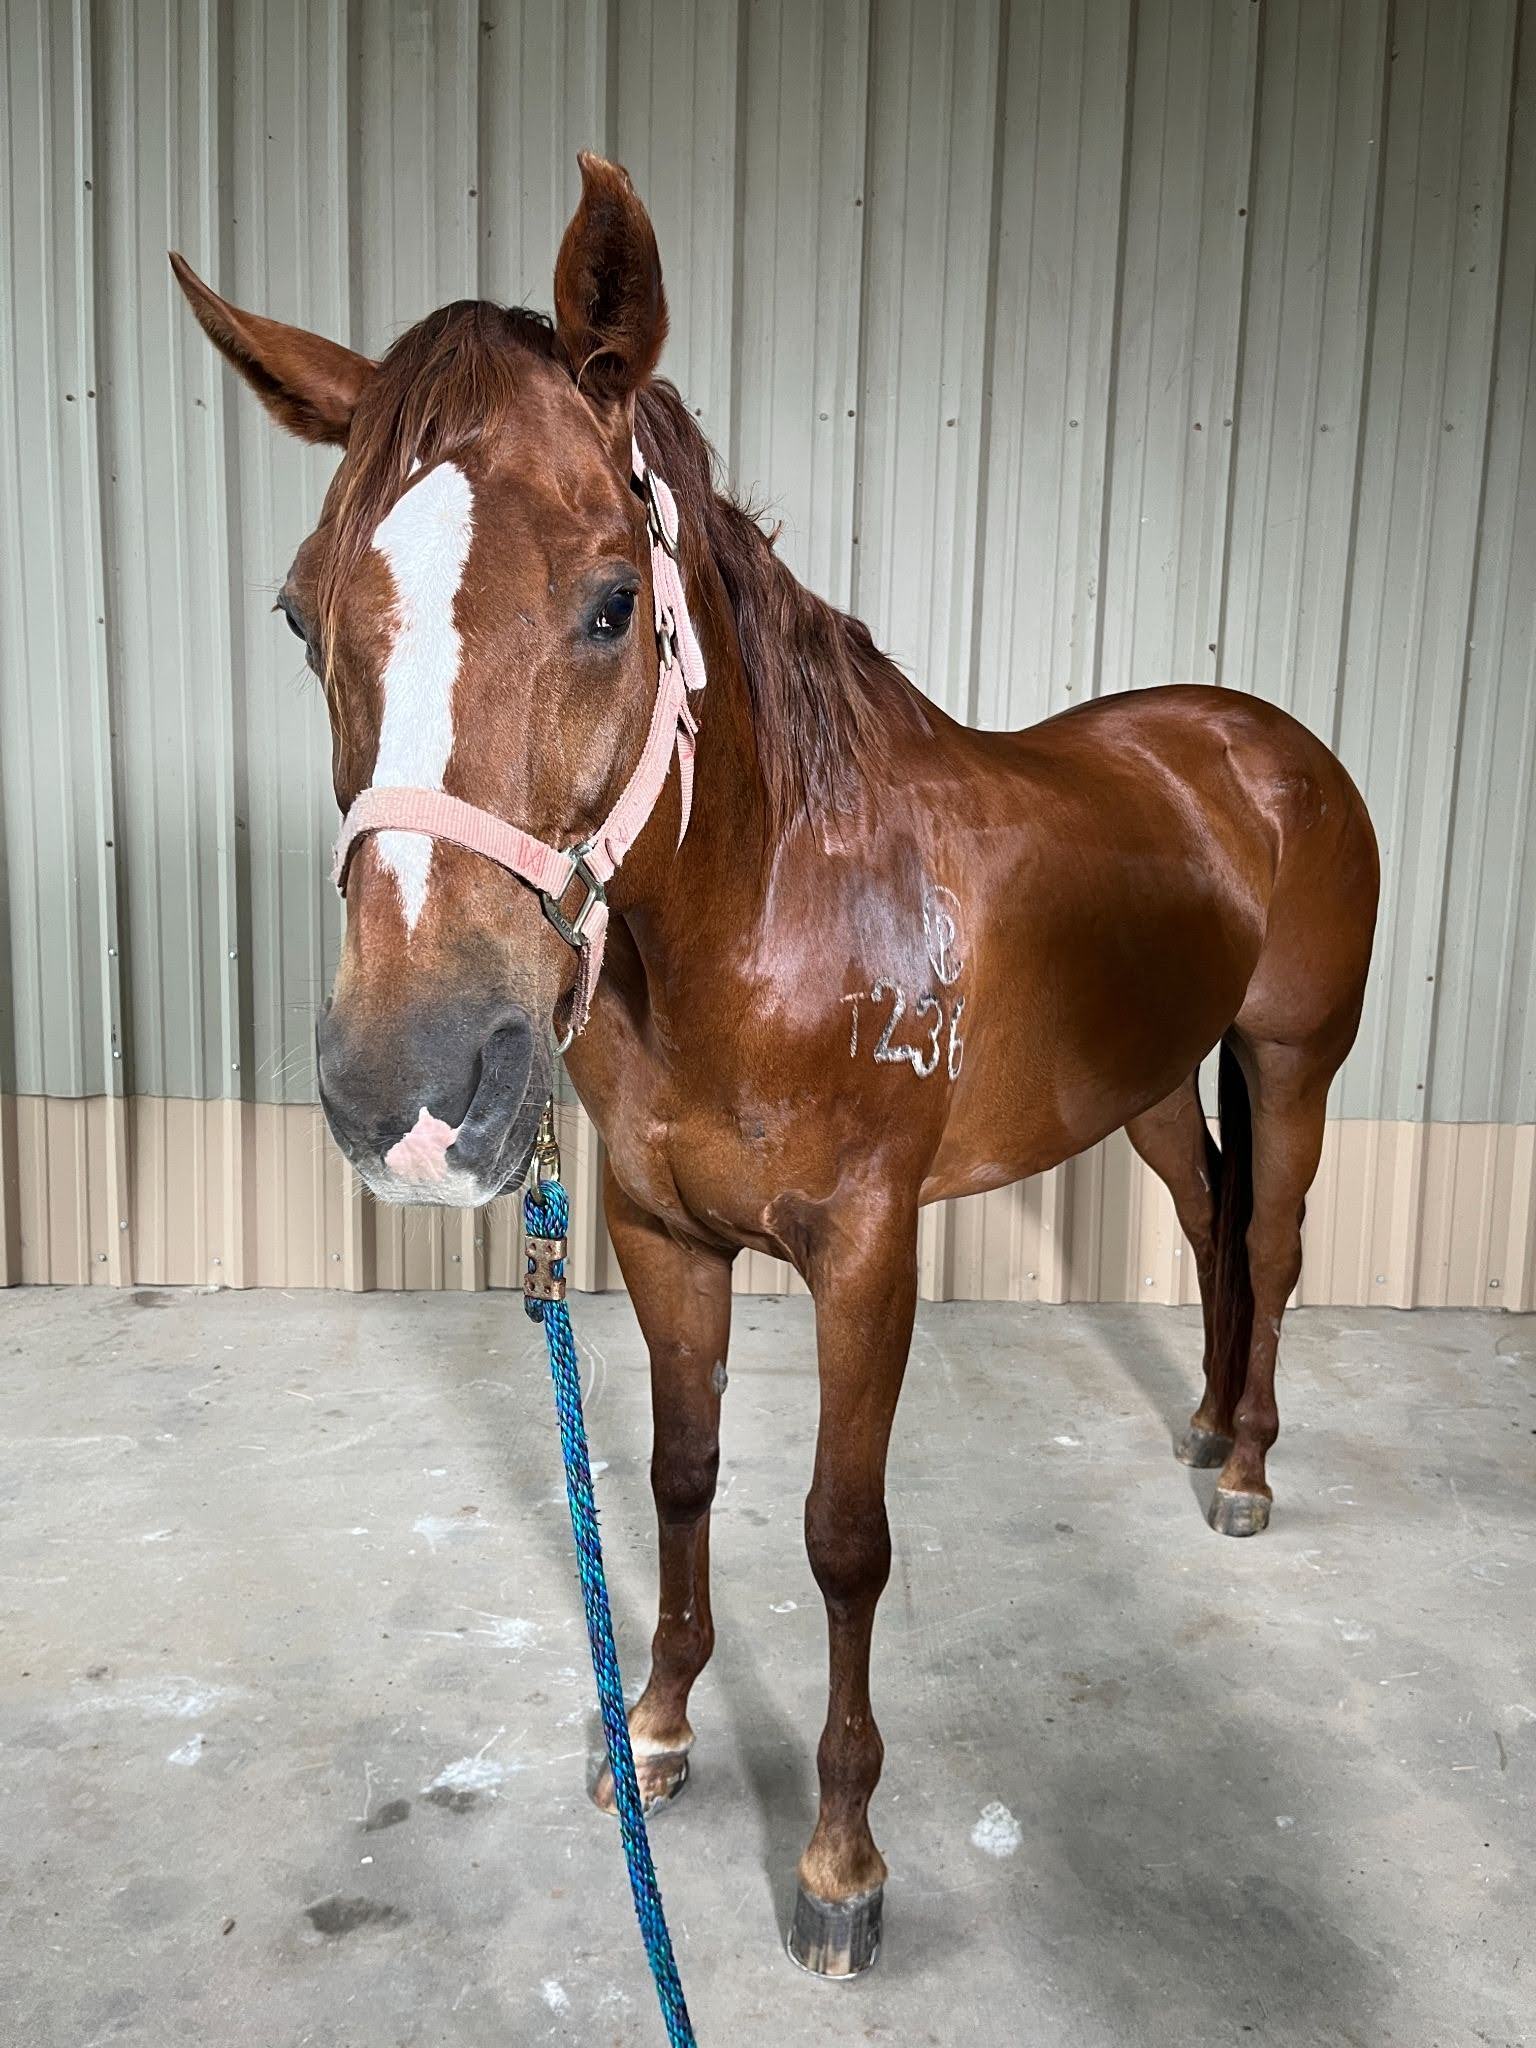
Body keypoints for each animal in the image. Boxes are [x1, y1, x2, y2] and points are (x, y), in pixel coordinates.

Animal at [172, 152, 1378, 1980]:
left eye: (613, 602)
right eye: (302, 613)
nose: (414, 1095)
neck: (775, 904)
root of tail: (1258, 743)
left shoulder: (866, 1256)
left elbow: (842, 1537)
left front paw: (840, 1859)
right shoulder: (662, 1235)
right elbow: (678, 1476)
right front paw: (656, 1729)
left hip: (1293, 1057)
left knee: (1283, 1234)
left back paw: (1242, 1467)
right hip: (1159, 1082)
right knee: (1212, 1225)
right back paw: (1197, 1426)